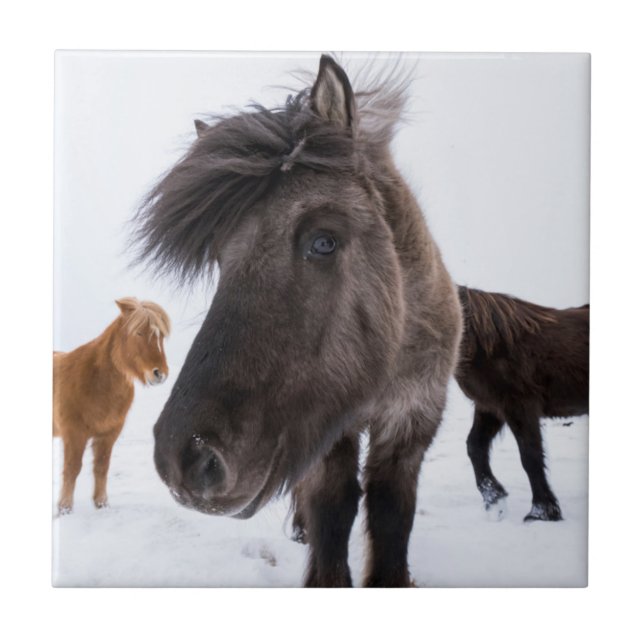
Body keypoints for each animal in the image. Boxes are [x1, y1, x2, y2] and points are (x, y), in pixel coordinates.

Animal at [53, 297, 171, 514]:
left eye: (160, 336)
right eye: (138, 332)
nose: (159, 374)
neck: (95, 382)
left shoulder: (108, 435)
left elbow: (101, 467)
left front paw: (101, 504)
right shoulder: (74, 434)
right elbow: (72, 468)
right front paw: (65, 508)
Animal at [132, 55, 462, 587]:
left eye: (323, 241)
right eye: (221, 258)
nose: (184, 458)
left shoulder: (410, 424)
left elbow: (391, 513)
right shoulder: (326, 428)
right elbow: (332, 509)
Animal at [455, 286, 589, 522]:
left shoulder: (519, 406)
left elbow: (530, 455)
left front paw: (542, 511)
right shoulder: (490, 407)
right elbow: (475, 446)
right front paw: (495, 499)